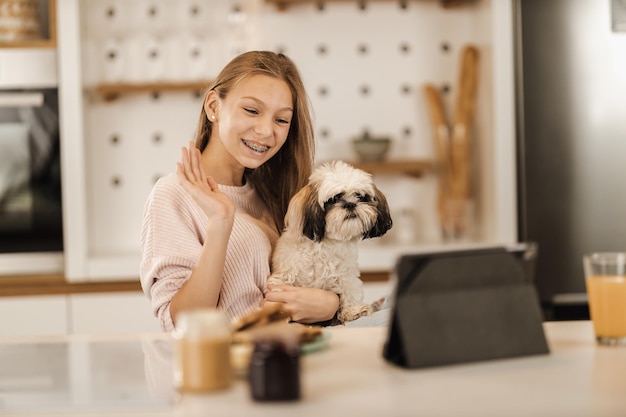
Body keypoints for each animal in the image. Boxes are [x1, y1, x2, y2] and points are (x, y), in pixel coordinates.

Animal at [266, 159, 392, 322]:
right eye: (334, 199)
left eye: (360, 196)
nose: (350, 204)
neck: (326, 244)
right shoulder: (285, 276)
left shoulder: (347, 276)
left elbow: (350, 290)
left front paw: (352, 310)